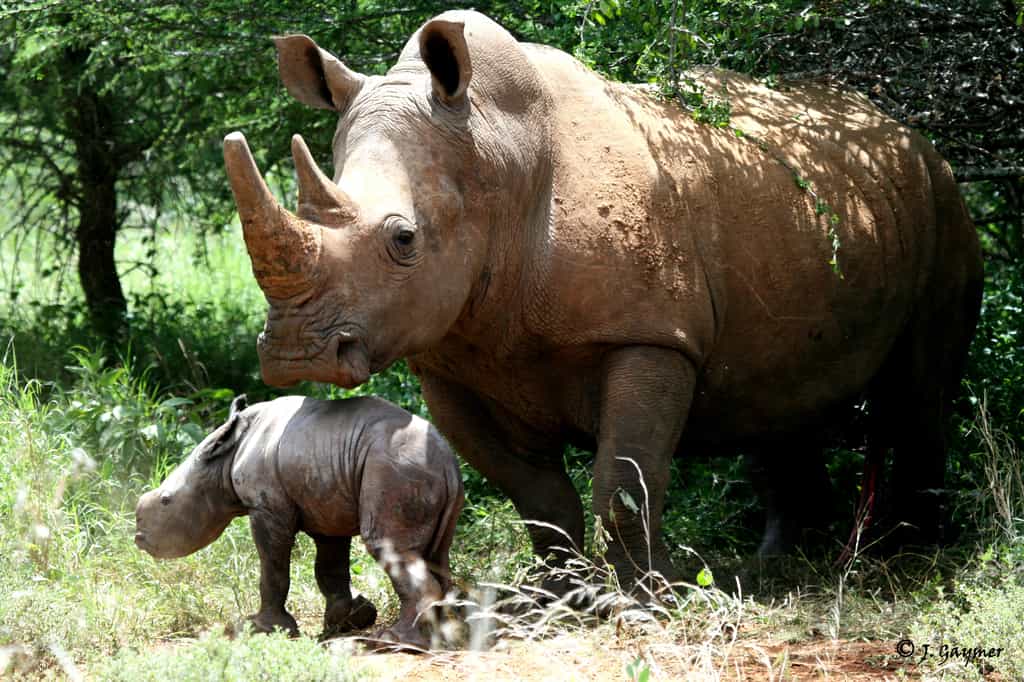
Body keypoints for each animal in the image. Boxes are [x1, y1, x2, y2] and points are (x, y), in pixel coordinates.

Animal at [135, 395, 463, 648]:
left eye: (166, 501)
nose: (139, 539)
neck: (225, 460)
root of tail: (449, 464)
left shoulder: (267, 507)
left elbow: (273, 568)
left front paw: (262, 628)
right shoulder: (327, 504)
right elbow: (330, 569)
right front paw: (347, 618)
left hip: (398, 469)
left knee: (386, 544)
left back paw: (395, 641)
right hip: (421, 472)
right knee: (434, 554)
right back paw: (441, 633)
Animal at [222, 10, 983, 590]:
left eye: (404, 238)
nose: (296, 355)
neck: (492, 157)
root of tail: (903, 130)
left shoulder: (649, 334)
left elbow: (623, 480)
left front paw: (656, 595)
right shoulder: (448, 358)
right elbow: (537, 494)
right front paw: (562, 595)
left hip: (944, 204)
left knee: (918, 393)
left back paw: (911, 563)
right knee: (779, 390)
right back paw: (779, 565)